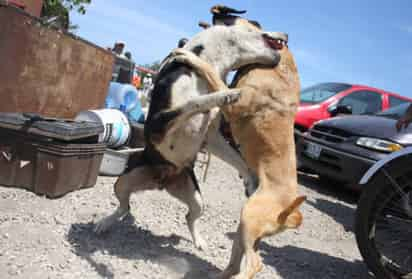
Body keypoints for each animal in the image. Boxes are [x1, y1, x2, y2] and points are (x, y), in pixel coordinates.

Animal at [95, 20, 284, 250]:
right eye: (257, 26)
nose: (286, 34)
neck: (207, 60)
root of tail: (161, 183)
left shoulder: (211, 138)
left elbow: (239, 159)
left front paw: (251, 182)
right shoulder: (159, 123)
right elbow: (193, 102)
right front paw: (226, 94)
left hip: (197, 200)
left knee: (188, 217)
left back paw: (199, 241)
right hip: (122, 182)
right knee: (124, 207)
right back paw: (105, 223)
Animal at [172, 10, 304, 278]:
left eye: (255, 22)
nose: (286, 34)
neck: (281, 70)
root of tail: (289, 212)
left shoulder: (232, 99)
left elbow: (210, 72)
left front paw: (188, 56)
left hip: (249, 217)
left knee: (256, 264)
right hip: (246, 230)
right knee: (238, 260)